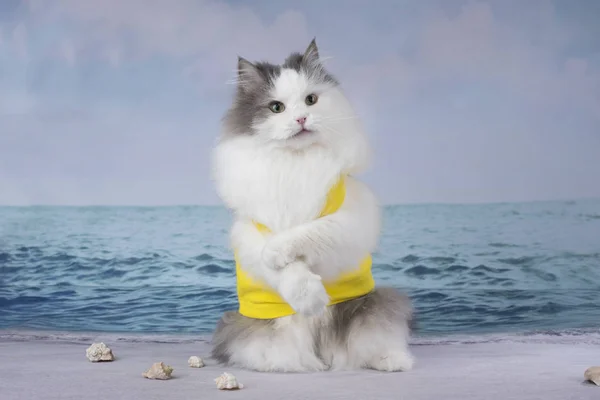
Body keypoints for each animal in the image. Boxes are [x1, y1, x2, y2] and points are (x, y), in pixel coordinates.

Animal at [210, 39, 412, 374]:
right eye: (276, 107)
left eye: (311, 100)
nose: (301, 119)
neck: (297, 161)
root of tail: (323, 350)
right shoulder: (251, 233)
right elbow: (286, 271)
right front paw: (311, 298)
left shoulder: (349, 219)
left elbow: (306, 233)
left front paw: (278, 251)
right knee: (283, 355)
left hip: (372, 307)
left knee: (366, 346)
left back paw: (392, 361)